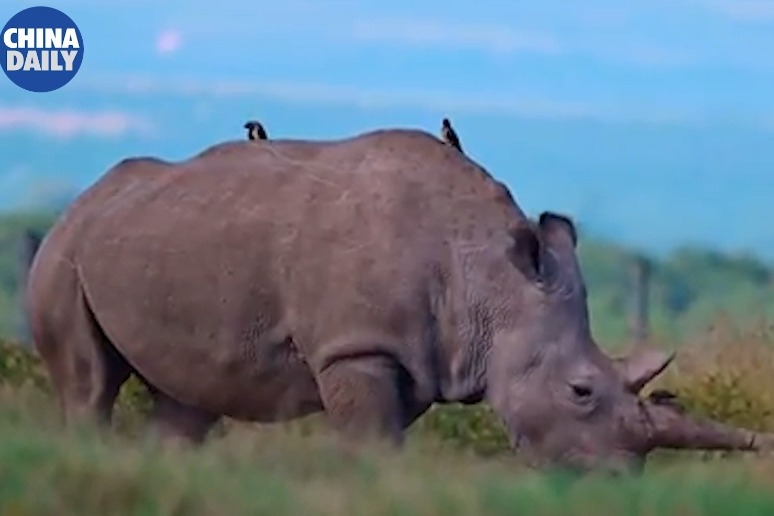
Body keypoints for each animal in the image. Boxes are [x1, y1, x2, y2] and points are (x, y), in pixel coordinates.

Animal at [25, 128, 773, 473]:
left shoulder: (414, 359)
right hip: (64, 251)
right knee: (88, 386)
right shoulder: (359, 348)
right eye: (581, 391)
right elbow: (372, 444)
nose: (619, 479)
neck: (492, 281)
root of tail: (82, 199)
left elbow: (384, 435)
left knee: (187, 402)